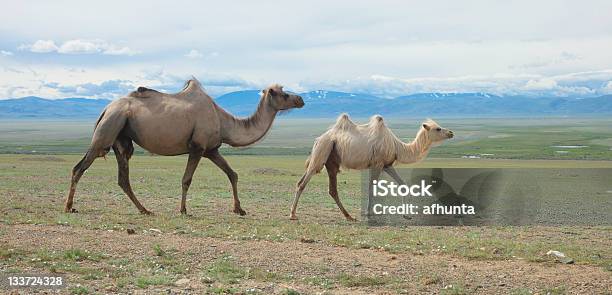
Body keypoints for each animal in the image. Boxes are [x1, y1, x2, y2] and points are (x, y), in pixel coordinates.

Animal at [64, 80, 304, 216]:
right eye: (284, 94)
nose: (301, 99)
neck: (223, 121)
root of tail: (105, 109)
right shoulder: (197, 147)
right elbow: (186, 179)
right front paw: (183, 210)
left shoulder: (212, 150)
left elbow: (232, 174)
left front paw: (239, 209)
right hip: (108, 129)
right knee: (79, 167)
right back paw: (69, 206)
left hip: (121, 139)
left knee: (123, 178)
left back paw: (145, 210)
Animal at [292, 114, 454, 221]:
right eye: (438, 129)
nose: (451, 132)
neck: (397, 146)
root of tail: (318, 139)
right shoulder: (377, 164)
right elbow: (372, 187)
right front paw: (369, 212)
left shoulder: (387, 165)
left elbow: (402, 184)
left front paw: (406, 214)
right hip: (322, 151)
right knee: (303, 182)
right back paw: (292, 214)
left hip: (331, 160)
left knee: (331, 189)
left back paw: (349, 216)